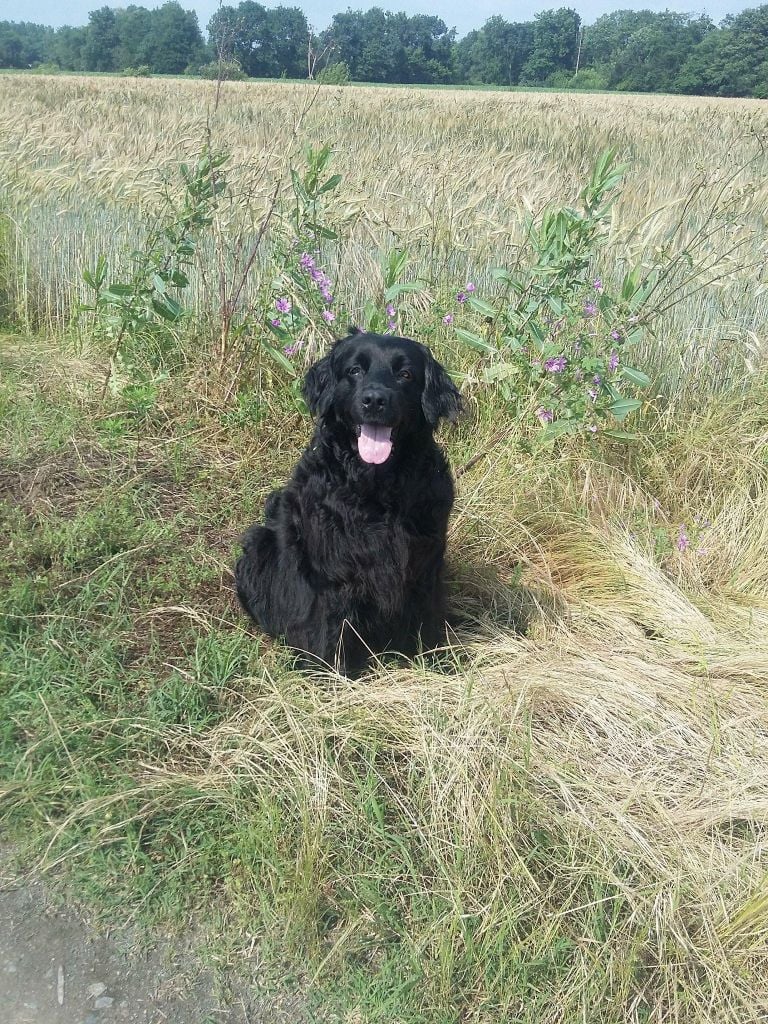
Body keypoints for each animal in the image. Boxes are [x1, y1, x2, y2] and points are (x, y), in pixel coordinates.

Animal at [234, 327, 462, 675]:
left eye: (405, 374)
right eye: (355, 370)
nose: (375, 400)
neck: (378, 487)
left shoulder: (426, 561)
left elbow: (427, 617)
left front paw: (435, 664)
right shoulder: (332, 569)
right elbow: (333, 626)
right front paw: (336, 676)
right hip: (260, 545)